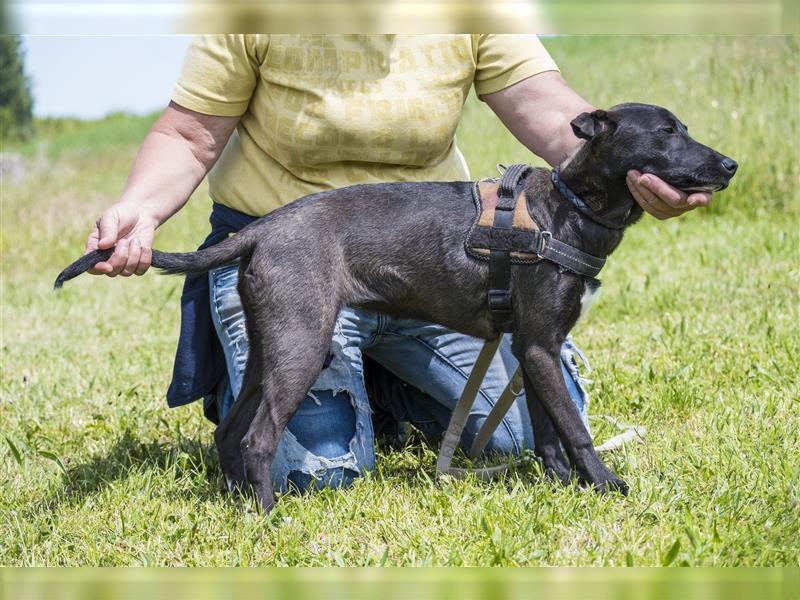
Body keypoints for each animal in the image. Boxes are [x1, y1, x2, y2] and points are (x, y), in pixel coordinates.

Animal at [56, 102, 736, 510]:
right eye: (667, 132)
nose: (730, 164)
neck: (567, 208)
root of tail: (263, 230)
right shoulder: (541, 346)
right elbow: (576, 429)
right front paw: (608, 487)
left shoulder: (532, 349)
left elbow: (549, 430)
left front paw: (562, 490)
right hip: (302, 343)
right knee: (257, 435)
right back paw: (271, 518)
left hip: (272, 342)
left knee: (230, 430)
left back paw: (240, 506)